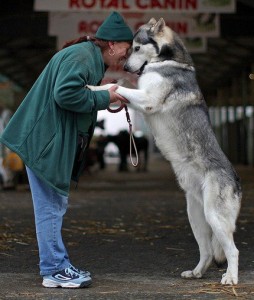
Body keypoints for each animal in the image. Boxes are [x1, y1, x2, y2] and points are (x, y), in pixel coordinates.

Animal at [88, 17, 242, 284]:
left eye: (137, 48)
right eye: (130, 49)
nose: (125, 66)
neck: (166, 60)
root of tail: (236, 181)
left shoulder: (148, 98)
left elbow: (121, 88)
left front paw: (95, 87)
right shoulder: (140, 92)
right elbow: (123, 85)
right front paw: (110, 85)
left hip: (215, 217)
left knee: (233, 250)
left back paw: (230, 278)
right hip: (196, 218)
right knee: (207, 251)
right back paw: (196, 272)